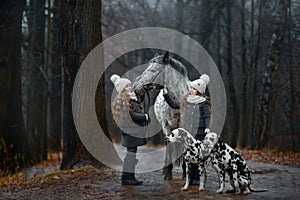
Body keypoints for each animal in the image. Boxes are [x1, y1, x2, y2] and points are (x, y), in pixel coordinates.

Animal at [132, 51, 189, 180]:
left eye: (153, 70)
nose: (135, 87)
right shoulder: (166, 125)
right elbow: (170, 146)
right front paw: (168, 173)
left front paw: (185, 173)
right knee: (168, 143)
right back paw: (165, 170)